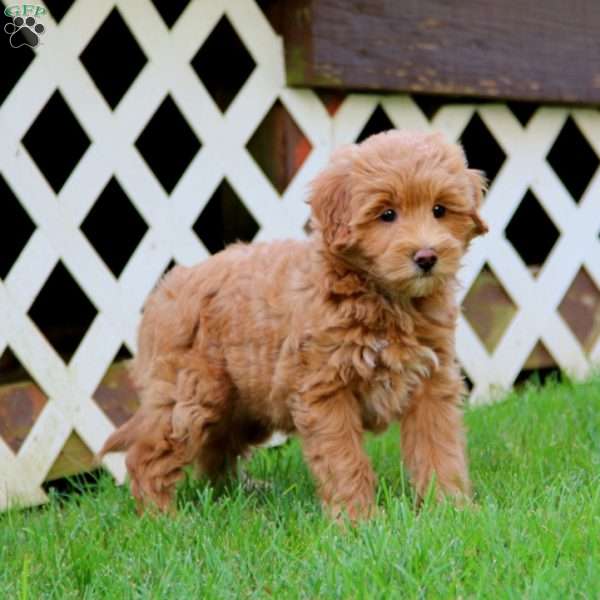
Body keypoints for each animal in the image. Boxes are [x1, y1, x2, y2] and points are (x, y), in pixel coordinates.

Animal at [99, 129, 488, 516]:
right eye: (387, 214)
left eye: (439, 210)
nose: (427, 257)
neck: (385, 299)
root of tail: (165, 290)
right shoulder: (326, 389)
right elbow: (344, 458)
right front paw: (358, 518)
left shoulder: (432, 382)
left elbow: (437, 448)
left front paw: (450, 509)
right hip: (192, 394)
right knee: (148, 454)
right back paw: (164, 516)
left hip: (245, 403)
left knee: (216, 448)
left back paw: (239, 494)